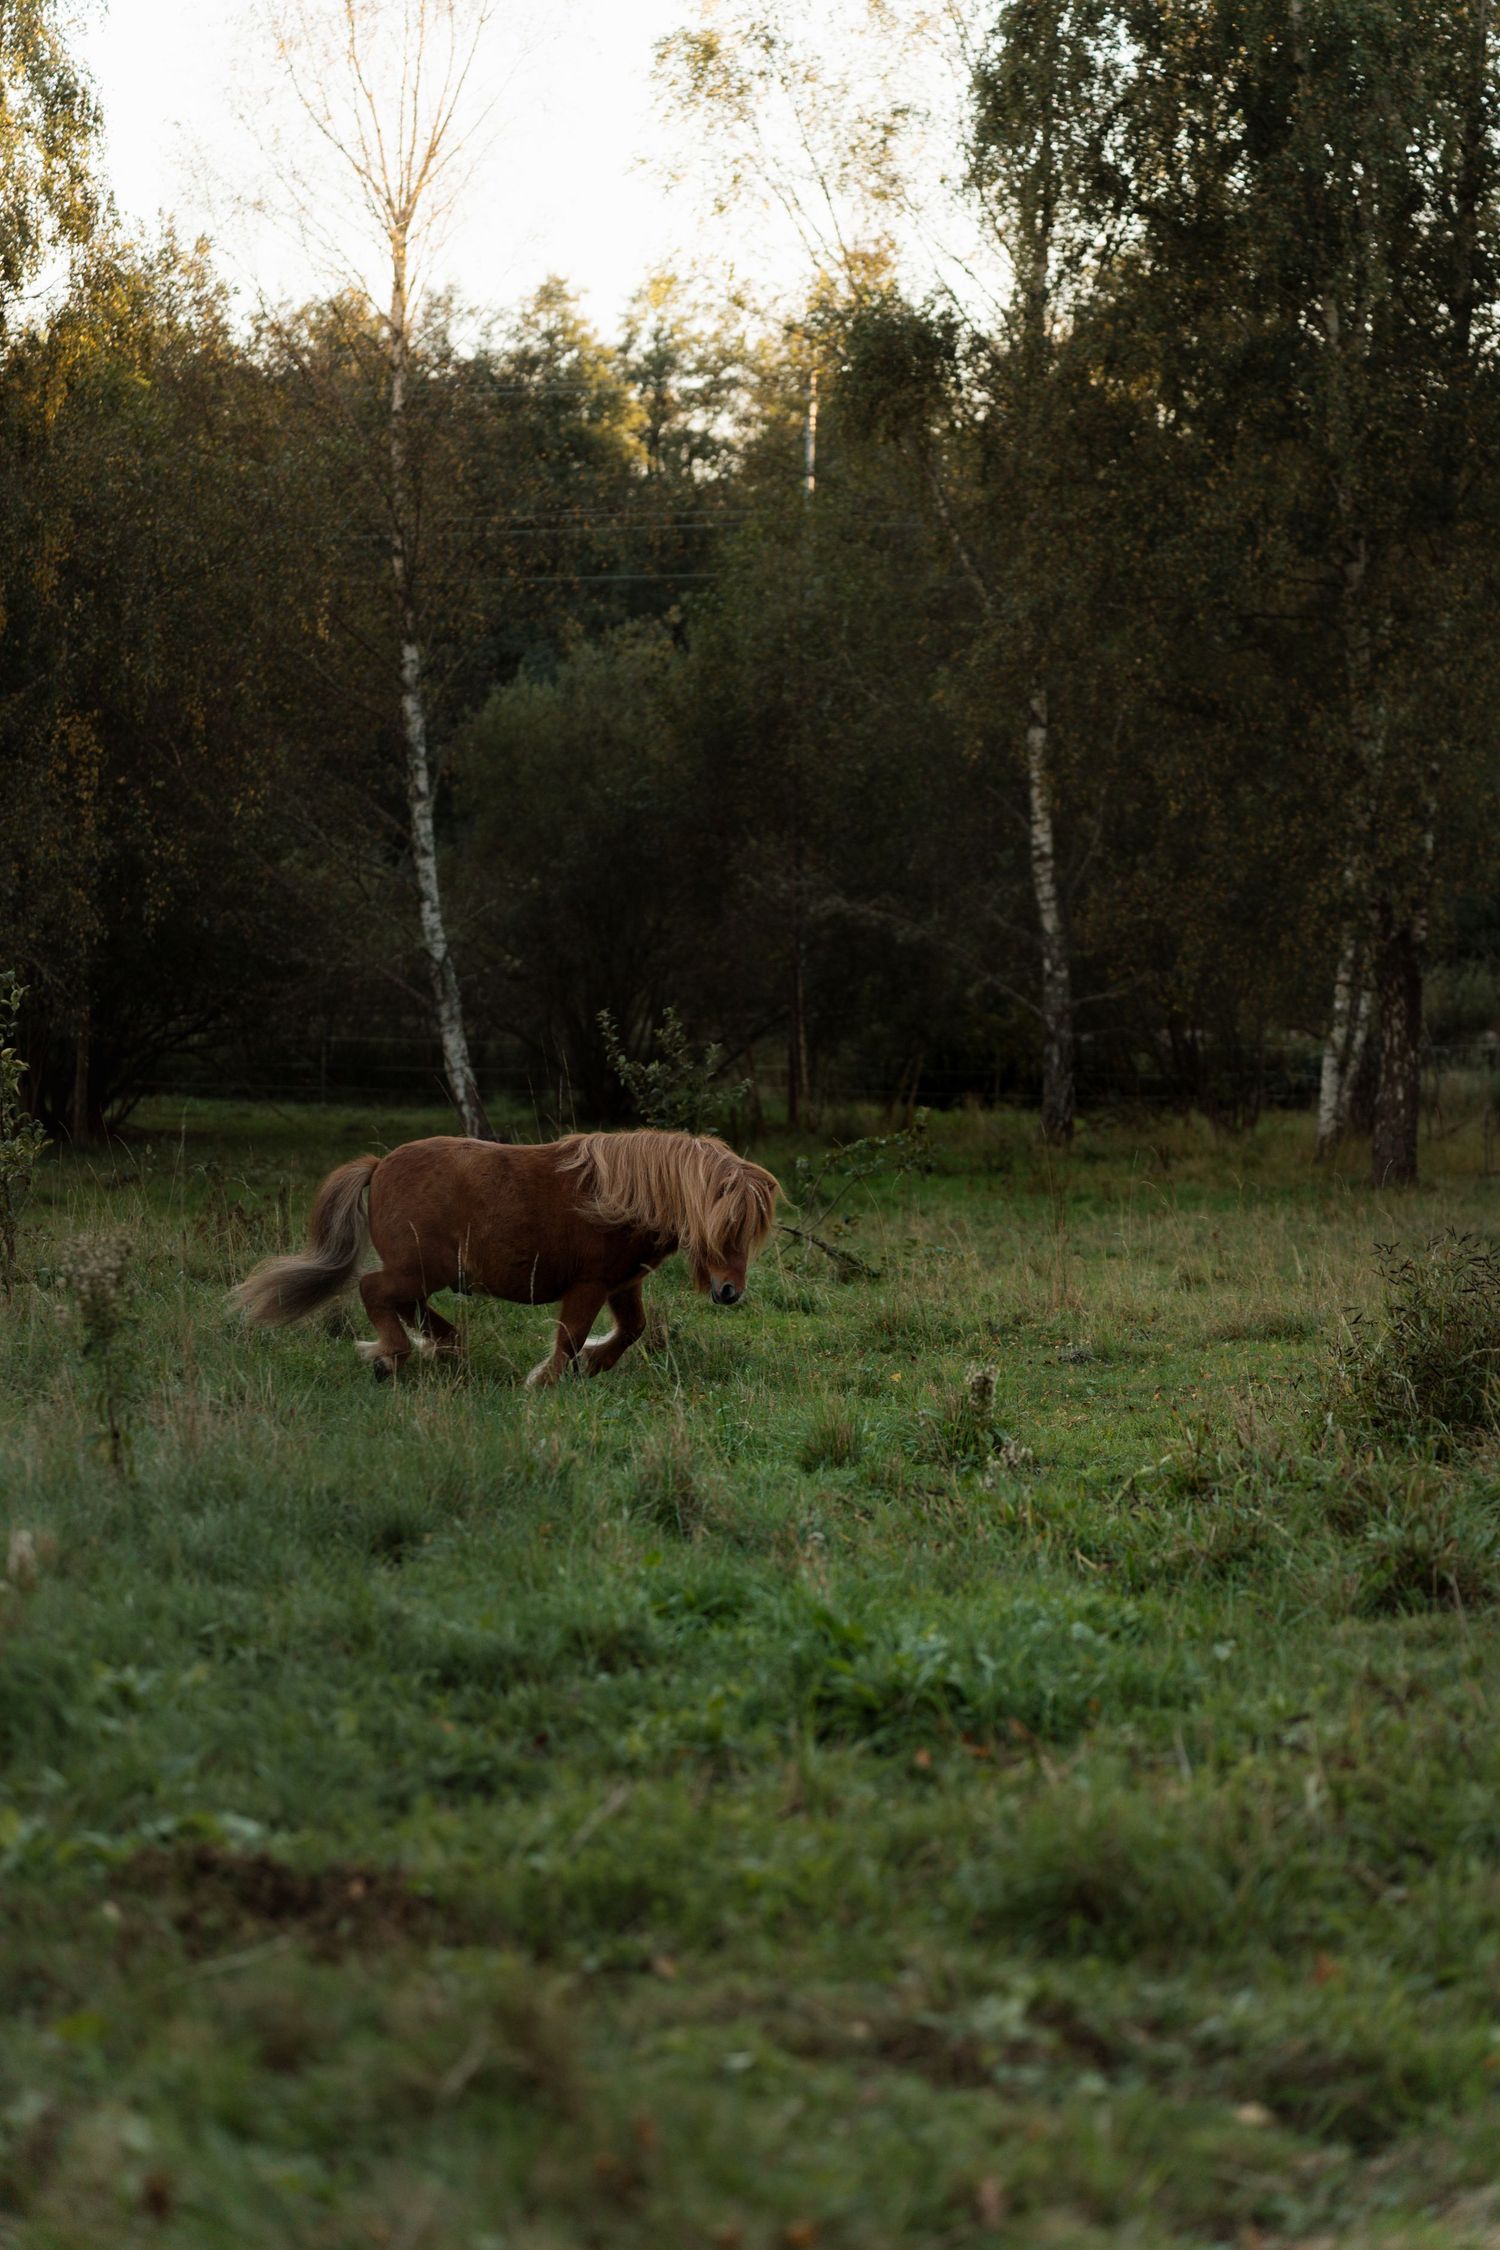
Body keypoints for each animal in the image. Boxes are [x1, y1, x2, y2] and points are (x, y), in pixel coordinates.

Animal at [232, 1128, 781, 1387]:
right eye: (726, 1227)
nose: (730, 1293)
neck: (621, 1197)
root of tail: (379, 1165)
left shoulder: (623, 1284)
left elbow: (632, 1329)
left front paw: (593, 1364)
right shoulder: (588, 1286)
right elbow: (571, 1335)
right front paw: (546, 1379)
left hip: (428, 1273)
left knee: (409, 1307)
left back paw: (441, 1349)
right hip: (420, 1269)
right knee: (376, 1292)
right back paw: (391, 1356)